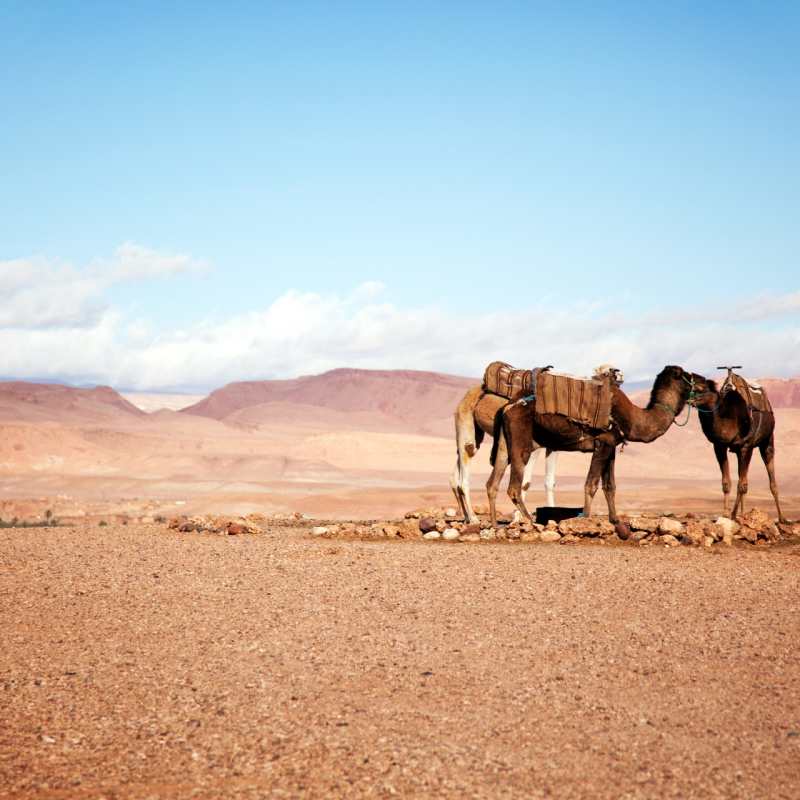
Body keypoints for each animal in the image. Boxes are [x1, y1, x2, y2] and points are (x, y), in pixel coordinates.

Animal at [450, 385, 557, 526]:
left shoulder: (552, 444)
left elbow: (548, 481)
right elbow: (526, 483)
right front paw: (519, 519)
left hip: (475, 435)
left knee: (455, 477)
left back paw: (467, 517)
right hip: (466, 428)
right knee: (464, 470)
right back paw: (474, 518)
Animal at [501, 365, 700, 524]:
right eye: (686, 375)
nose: (704, 381)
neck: (632, 418)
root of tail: (509, 406)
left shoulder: (611, 446)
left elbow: (610, 486)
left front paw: (615, 520)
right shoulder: (603, 442)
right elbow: (591, 484)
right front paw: (586, 519)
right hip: (521, 439)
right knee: (514, 486)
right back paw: (529, 520)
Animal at [690, 370, 787, 523]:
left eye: (701, 389)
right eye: (691, 387)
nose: (689, 400)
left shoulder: (746, 446)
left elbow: (740, 485)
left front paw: (733, 515)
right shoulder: (720, 446)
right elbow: (727, 482)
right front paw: (725, 514)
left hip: (767, 442)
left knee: (771, 481)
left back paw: (781, 517)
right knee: (745, 481)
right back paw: (743, 514)